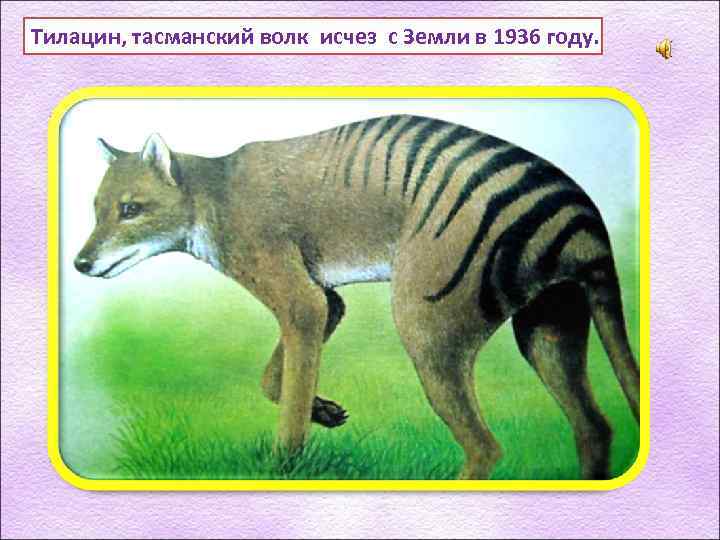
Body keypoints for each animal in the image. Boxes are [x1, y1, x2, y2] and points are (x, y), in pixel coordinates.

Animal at [75, 115, 640, 480]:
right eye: (98, 208)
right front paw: (325, 411)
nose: (80, 264)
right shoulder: (327, 299)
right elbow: (274, 380)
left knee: (486, 447)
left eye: (130, 209)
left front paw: (285, 463)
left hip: (426, 321)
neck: (213, 194)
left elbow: (288, 392)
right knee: (595, 428)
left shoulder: (299, 299)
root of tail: (579, 213)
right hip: (549, 327)